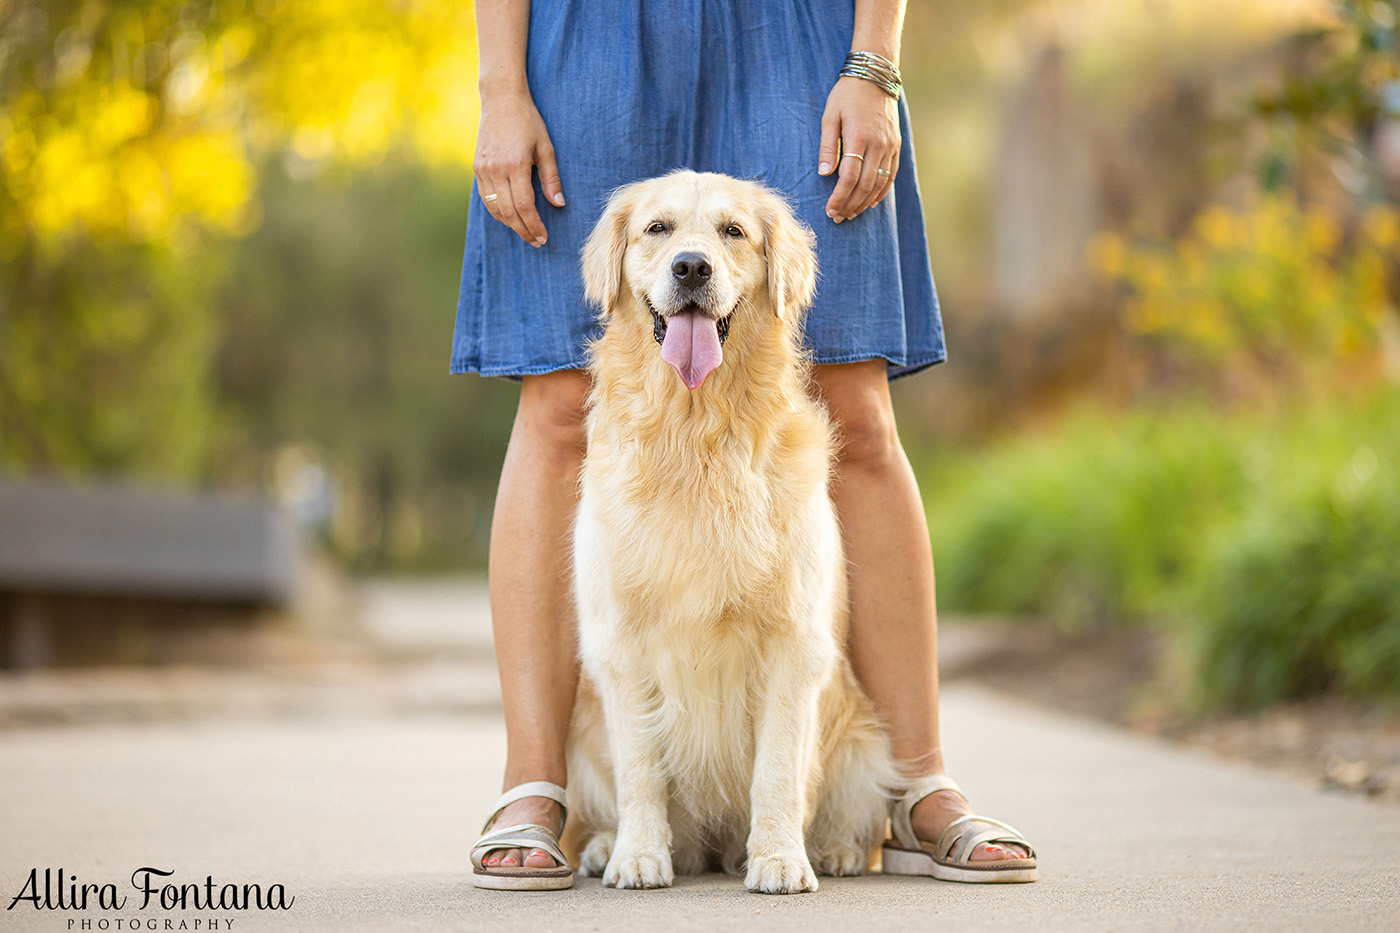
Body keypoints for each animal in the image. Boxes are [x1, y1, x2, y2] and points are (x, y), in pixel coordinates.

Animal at [565, 170, 896, 890]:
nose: (692, 267)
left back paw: (834, 850)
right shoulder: (622, 643)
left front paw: (779, 858)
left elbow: (777, 770)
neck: (697, 433)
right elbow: (641, 771)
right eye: (657, 229)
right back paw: (604, 845)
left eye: (733, 231)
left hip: (863, 741)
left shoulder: (792, 643)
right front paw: (639, 854)